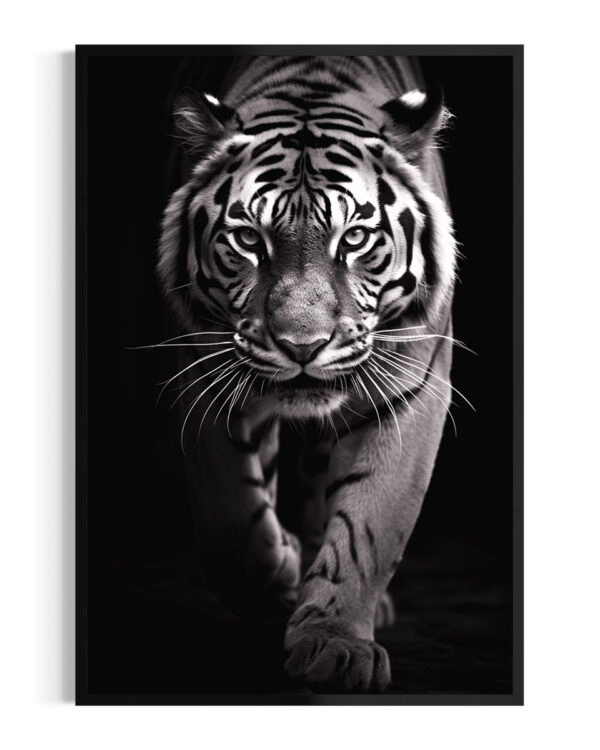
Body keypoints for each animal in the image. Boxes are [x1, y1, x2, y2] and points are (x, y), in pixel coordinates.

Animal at [157, 55, 458, 693]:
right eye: (248, 238)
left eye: (356, 238)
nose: (302, 346)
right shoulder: (204, 374)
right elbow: (230, 523)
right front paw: (281, 577)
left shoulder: (410, 391)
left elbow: (372, 524)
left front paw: (336, 644)